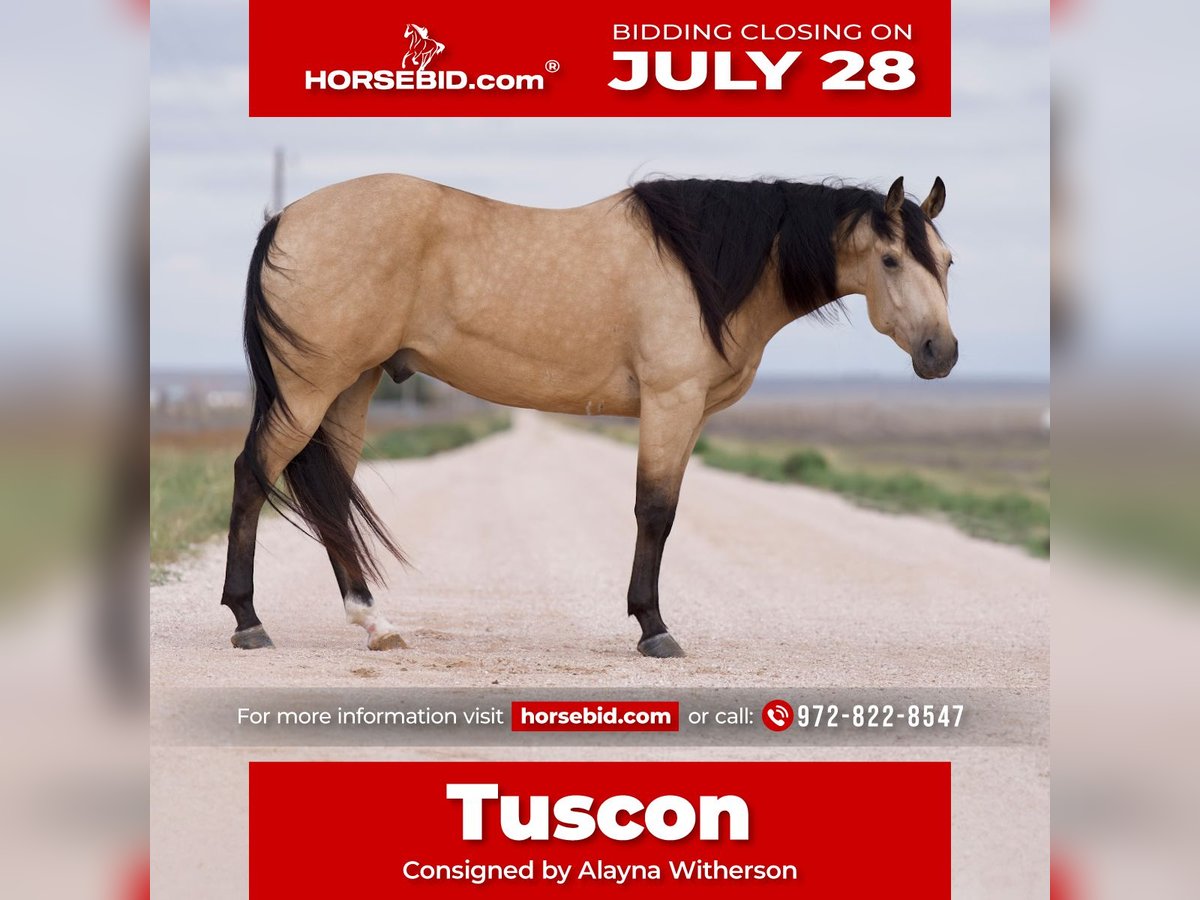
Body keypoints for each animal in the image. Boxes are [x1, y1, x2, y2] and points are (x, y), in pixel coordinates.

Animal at [222, 174, 956, 657]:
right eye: (891, 258)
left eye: (947, 261)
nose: (941, 353)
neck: (704, 265)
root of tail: (284, 218)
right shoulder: (670, 402)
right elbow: (655, 511)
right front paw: (654, 629)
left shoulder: (687, 414)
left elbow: (662, 510)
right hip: (310, 390)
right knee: (253, 475)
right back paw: (249, 621)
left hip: (351, 388)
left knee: (331, 496)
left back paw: (374, 622)